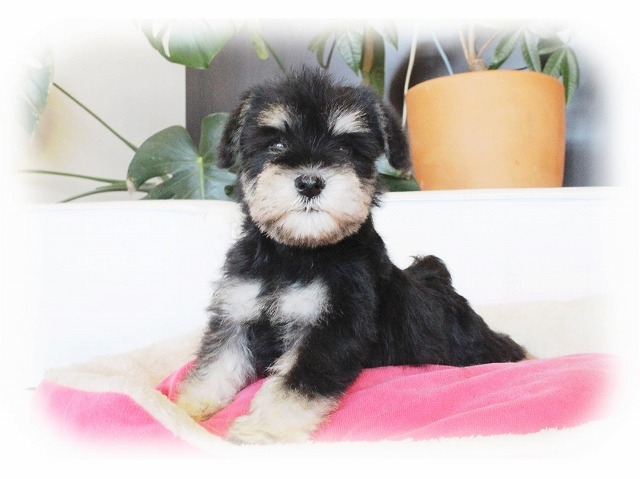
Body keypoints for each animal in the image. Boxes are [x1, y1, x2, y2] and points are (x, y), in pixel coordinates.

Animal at [176, 68, 527, 443]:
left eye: (345, 147)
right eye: (276, 144)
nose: (310, 182)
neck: (297, 252)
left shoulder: (333, 328)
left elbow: (295, 384)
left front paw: (263, 429)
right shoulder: (236, 315)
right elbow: (214, 365)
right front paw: (184, 408)